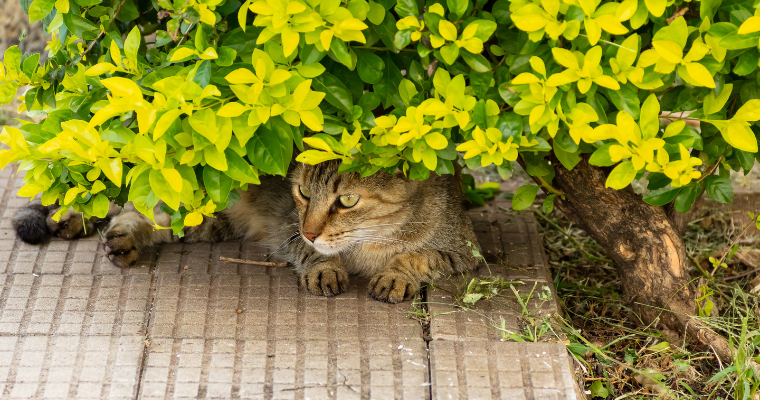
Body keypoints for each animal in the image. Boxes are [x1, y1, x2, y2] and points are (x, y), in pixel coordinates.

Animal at [13, 162, 480, 304]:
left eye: (347, 200)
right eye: (302, 192)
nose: (313, 231)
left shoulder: (463, 251)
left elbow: (416, 257)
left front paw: (395, 276)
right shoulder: (290, 228)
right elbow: (312, 255)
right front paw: (325, 269)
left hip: (207, 225)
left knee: (140, 214)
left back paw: (120, 241)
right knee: (128, 200)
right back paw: (73, 218)